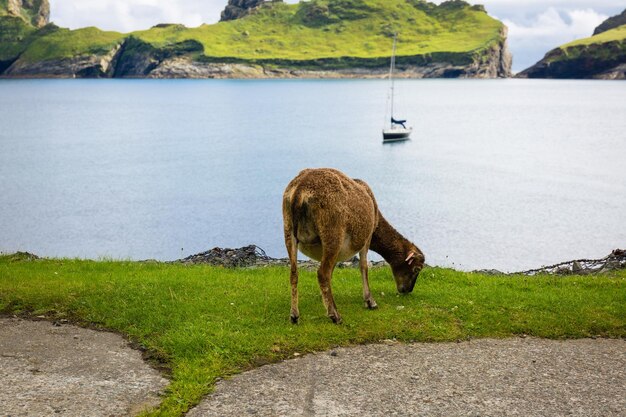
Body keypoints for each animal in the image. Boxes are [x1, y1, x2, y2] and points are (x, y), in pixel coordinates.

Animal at [282, 167, 424, 324]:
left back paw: (294, 315)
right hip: (332, 232)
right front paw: (370, 301)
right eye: (417, 269)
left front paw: (324, 299)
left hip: (289, 229)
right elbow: (363, 267)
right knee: (322, 273)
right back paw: (335, 315)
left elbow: (333, 271)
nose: (407, 290)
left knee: (294, 272)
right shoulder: (367, 237)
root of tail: (300, 191)